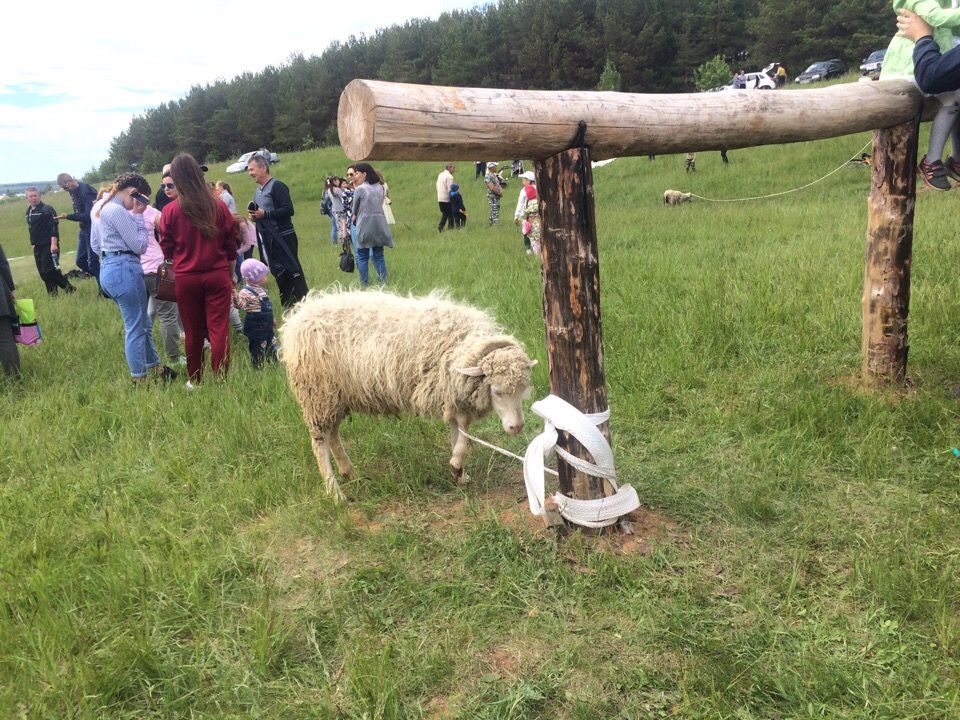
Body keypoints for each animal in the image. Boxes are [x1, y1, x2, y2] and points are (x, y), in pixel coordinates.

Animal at [280, 286, 540, 500]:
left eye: (523, 390)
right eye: (496, 391)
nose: (517, 427)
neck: (461, 345)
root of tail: (297, 318)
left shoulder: (451, 396)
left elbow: (459, 433)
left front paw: (459, 472)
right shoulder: (447, 391)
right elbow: (463, 431)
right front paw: (456, 466)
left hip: (335, 397)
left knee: (333, 435)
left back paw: (349, 472)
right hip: (316, 394)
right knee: (319, 443)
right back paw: (335, 493)